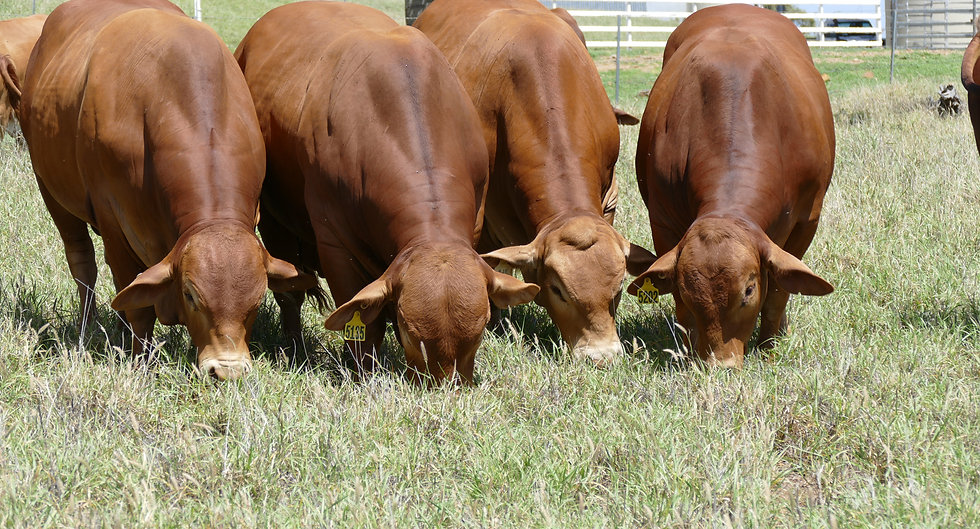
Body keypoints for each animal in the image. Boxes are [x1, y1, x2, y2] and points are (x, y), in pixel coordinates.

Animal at [4, 0, 314, 380]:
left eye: (257, 300)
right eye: (191, 295)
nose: (226, 371)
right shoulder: (112, 220)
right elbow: (137, 302)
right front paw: (140, 362)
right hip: (52, 192)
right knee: (83, 264)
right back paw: (88, 327)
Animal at [235, 1, 539, 385]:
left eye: (481, 330)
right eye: (410, 334)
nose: (447, 388)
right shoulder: (336, 246)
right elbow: (365, 326)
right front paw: (364, 374)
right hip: (276, 224)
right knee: (290, 294)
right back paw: (295, 347)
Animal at [628, 4, 834, 368]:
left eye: (748, 291)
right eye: (687, 291)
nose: (720, 365)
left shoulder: (806, 220)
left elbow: (779, 290)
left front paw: (769, 346)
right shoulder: (663, 220)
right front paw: (687, 352)